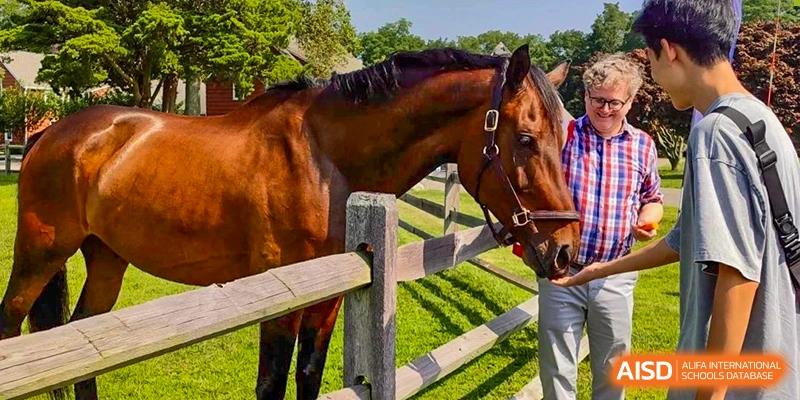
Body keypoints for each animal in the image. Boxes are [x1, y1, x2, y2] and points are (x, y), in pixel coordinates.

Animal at [0, 45, 579, 399]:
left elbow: (307, 376)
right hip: (40, 250)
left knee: (80, 339)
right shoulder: (280, 298)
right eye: (526, 138)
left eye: (566, 133)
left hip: (106, 257)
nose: (567, 249)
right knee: (12, 326)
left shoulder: (328, 298)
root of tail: (50, 134)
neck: (324, 157)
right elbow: (272, 384)